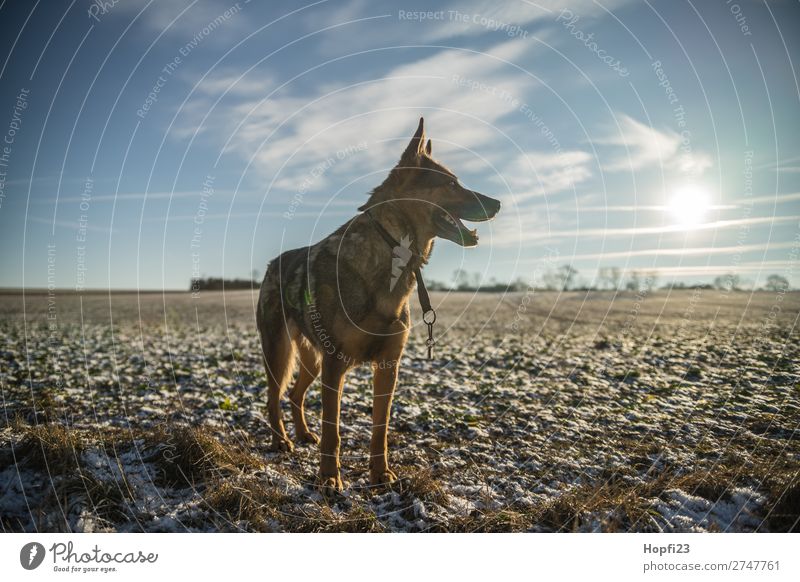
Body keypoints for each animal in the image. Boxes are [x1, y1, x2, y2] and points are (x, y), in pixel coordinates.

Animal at [256, 120, 500, 498]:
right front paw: (329, 479)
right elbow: (333, 430)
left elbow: (380, 429)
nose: (499, 203)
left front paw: (380, 475)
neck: (392, 253)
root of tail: (271, 265)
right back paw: (281, 441)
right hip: (280, 352)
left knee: (295, 395)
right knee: (272, 398)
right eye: (451, 183)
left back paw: (303, 434)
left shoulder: (388, 365)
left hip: (311, 360)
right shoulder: (335, 364)